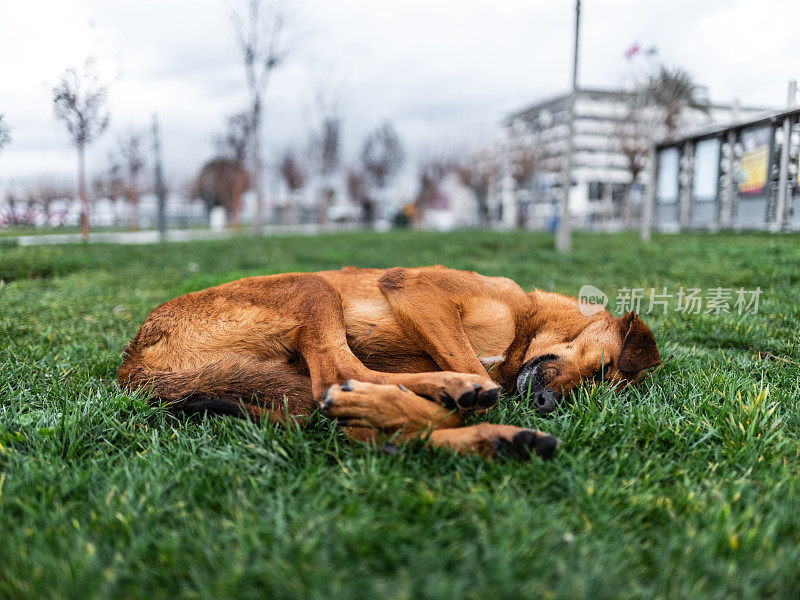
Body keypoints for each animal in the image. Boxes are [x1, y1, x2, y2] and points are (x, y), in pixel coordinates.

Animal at [117, 266, 656, 460]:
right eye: (603, 368)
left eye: (595, 385)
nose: (544, 403)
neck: (525, 324)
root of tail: (132, 362)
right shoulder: (417, 288)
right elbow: (479, 373)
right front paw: (464, 393)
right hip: (313, 288)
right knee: (340, 377)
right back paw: (447, 396)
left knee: (345, 411)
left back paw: (500, 439)